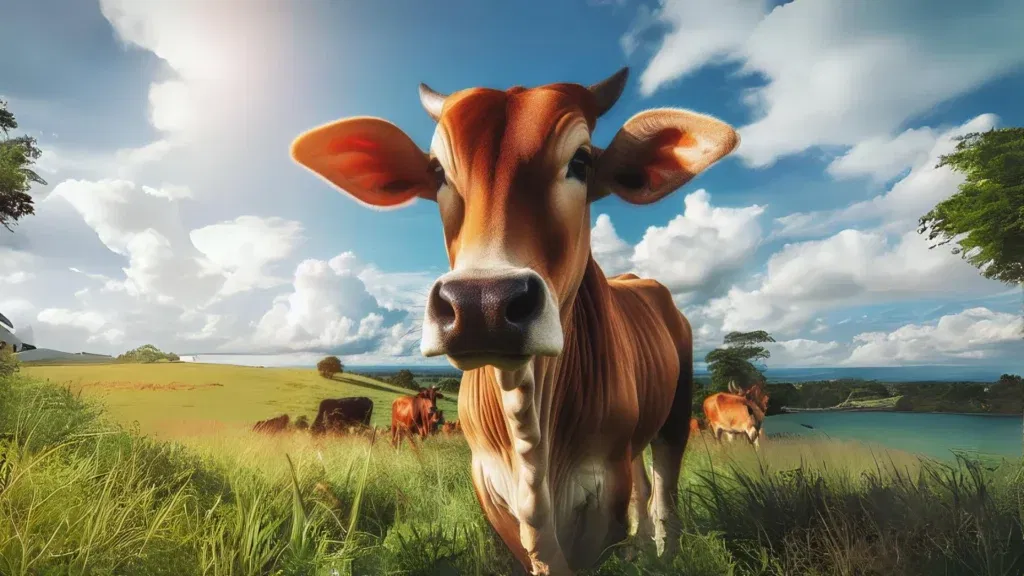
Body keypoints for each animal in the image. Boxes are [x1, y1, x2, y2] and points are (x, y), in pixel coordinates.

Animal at [290, 66, 739, 575]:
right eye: (438, 171)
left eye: (581, 161)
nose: (481, 304)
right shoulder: (490, 485)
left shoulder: (605, 480)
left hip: (676, 416)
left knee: (663, 491)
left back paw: (664, 553)